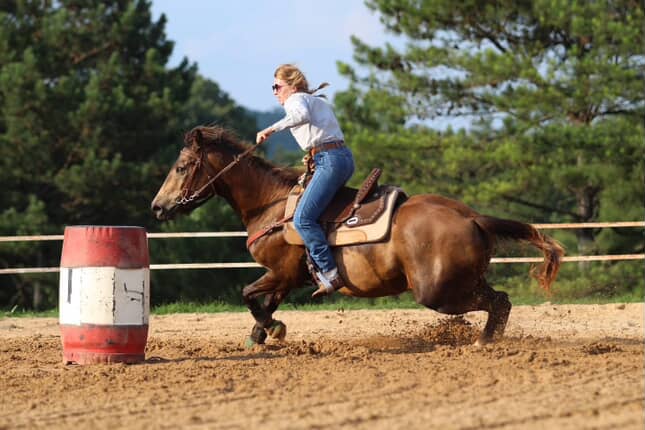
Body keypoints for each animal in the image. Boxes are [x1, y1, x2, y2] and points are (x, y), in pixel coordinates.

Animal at [151, 126, 564, 347]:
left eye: (182, 167)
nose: (157, 207)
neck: (271, 205)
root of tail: (473, 217)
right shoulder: (290, 277)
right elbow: (265, 303)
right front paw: (261, 336)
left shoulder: (280, 273)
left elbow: (249, 295)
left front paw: (273, 330)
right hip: (463, 280)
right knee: (500, 300)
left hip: (438, 291)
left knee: (499, 302)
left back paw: (482, 342)